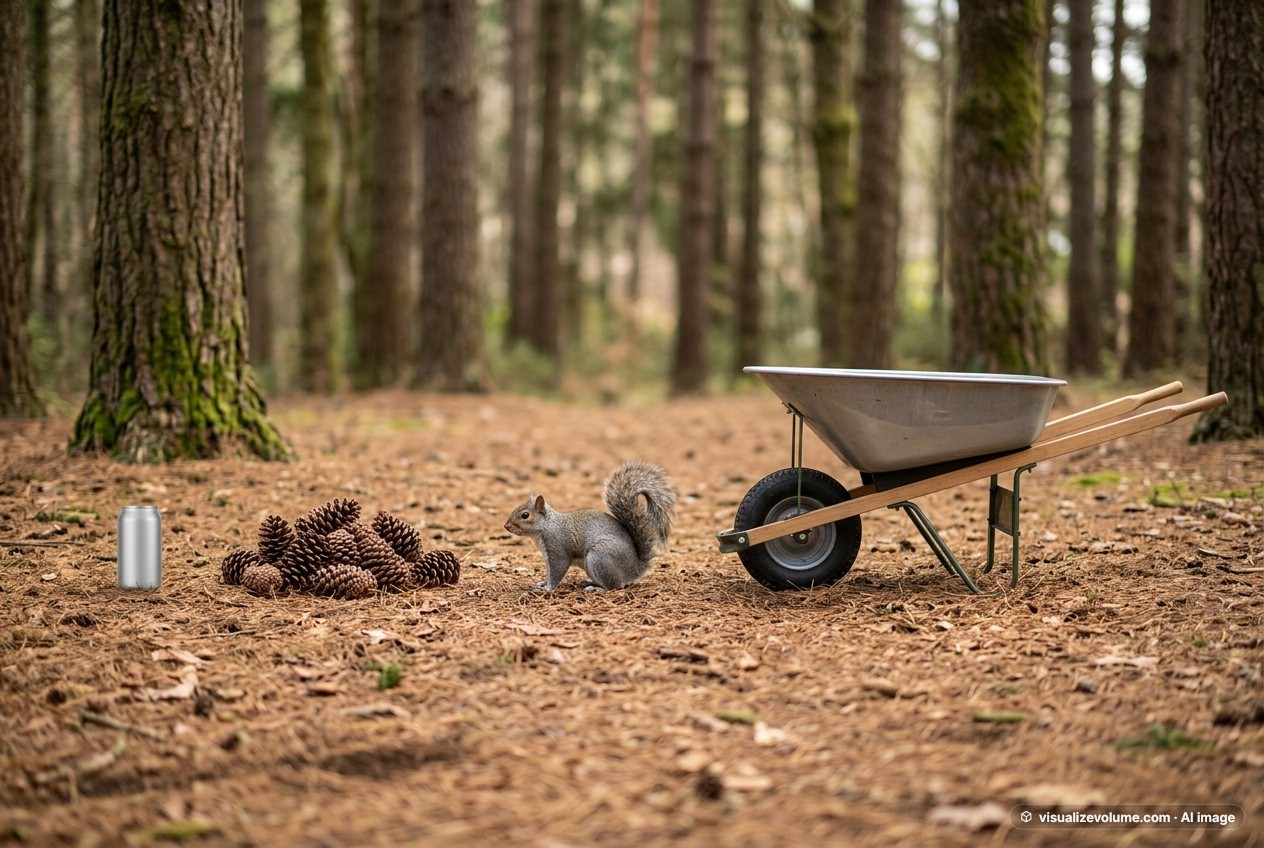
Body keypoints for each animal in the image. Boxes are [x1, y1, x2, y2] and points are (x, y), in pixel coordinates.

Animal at [504, 461, 677, 592]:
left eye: (525, 515)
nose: (506, 526)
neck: (547, 526)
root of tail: (635, 569)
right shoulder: (548, 557)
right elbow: (549, 573)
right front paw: (542, 583)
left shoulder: (558, 547)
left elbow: (557, 571)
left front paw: (547, 588)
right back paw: (589, 582)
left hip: (600, 557)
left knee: (616, 585)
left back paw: (597, 589)